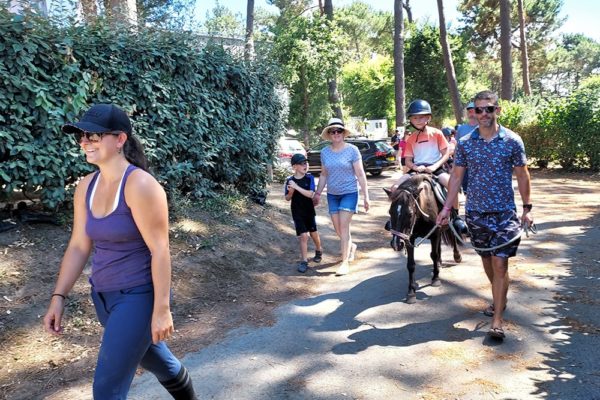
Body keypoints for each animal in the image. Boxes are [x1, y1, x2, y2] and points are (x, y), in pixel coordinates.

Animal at [386, 174, 462, 304]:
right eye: (390, 212)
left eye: (410, 214)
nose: (396, 243)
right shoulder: (409, 238)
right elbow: (411, 264)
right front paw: (411, 292)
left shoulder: (435, 233)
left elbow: (434, 255)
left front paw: (435, 279)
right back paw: (439, 263)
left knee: (453, 237)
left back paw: (456, 256)